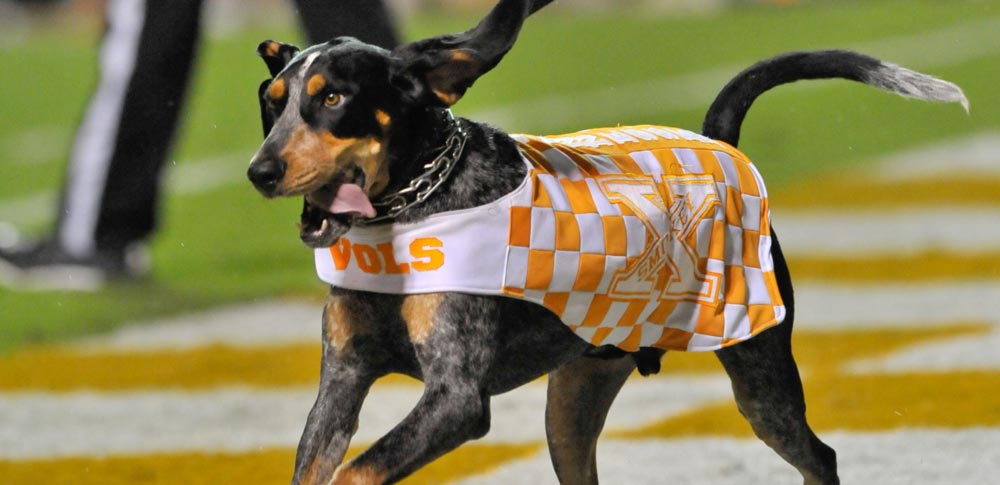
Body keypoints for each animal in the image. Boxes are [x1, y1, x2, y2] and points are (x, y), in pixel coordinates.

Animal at [246, 1, 964, 482]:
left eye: (334, 97)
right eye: (272, 101)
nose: (260, 170)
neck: (409, 210)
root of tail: (720, 139)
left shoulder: (455, 398)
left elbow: (358, 471)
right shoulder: (342, 380)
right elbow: (319, 464)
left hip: (760, 372)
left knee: (819, 456)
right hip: (573, 400)